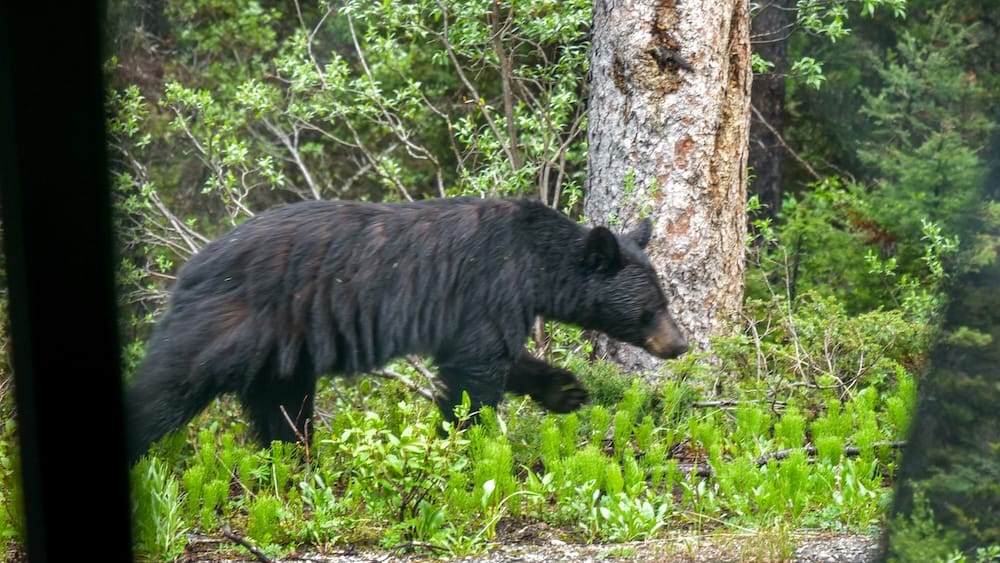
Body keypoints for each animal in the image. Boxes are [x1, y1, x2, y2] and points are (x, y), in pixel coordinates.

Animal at [124, 197, 688, 462]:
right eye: (651, 307)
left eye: (665, 300)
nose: (679, 344)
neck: (532, 260)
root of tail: (190, 266)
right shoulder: (489, 282)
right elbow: (476, 370)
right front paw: (460, 443)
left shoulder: (485, 306)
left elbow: (495, 355)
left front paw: (565, 389)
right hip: (230, 321)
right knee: (168, 386)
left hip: (282, 351)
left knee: (284, 408)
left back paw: (294, 459)